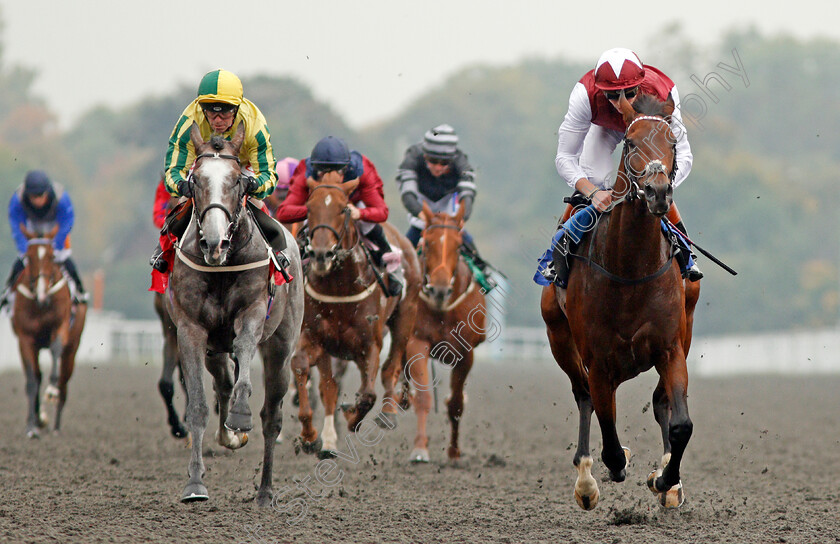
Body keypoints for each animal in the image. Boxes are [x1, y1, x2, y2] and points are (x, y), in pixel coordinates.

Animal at [11, 224, 87, 438]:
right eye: (29, 256)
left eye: (52, 256)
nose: (42, 293)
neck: (41, 305)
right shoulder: (25, 339)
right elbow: (31, 380)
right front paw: (31, 426)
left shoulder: (60, 326)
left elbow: (55, 350)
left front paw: (51, 391)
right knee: (37, 376)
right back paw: (39, 420)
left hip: (72, 349)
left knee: (64, 381)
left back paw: (56, 426)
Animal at [165, 123, 306, 506]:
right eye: (196, 180)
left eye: (237, 181)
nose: (214, 243)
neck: (222, 267)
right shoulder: (191, 330)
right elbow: (199, 406)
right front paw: (195, 483)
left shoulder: (254, 312)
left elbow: (244, 349)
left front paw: (241, 416)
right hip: (214, 347)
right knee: (222, 382)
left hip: (281, 348)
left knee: (271, 416)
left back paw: (265, 490)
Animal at [292, 176, 420, 456]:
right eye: (309, 208)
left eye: (343, 209)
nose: (321, 254)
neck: (339, 287)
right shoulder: (315, 338)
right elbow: (303, 368)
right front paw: (309, 437)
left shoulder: (369, 344)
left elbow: (367, 394)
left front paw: (352, 417)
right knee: (329, 386)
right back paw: (328, 440)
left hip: (405, 318)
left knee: (390, 368)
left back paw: (388, 413)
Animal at [406, 202, 488, 462]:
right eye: (427, 243)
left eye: (458, 245)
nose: (439, 290)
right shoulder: (417, 341)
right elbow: (423, 397)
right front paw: (419, 448)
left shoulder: (466, 352)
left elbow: (456, 403)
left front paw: (453, 451)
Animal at [540, 94, 704, 510]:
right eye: (629, 142)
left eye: (673, 142)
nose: (658, 192)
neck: (629, 270)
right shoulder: (598, 359)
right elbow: (609, 438)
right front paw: (614, 467)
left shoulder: (670, 346)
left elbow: (681, 423)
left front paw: (666, 479)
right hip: (558, 338)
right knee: (585, 397)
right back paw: (585, 480)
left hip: (685, 329)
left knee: (659, 402)